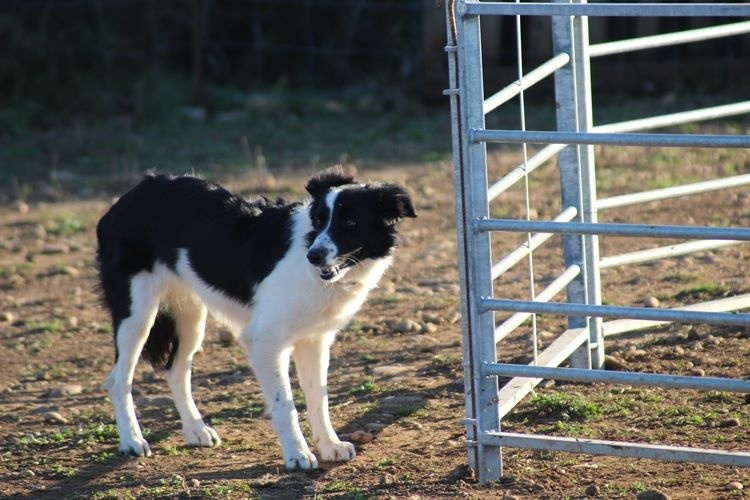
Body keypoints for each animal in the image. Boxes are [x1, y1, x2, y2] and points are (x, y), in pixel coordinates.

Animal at [95, 167, 418, 468]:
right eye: (318, 221)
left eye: (350, 222)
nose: (313, 256)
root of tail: (131, 194)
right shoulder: (265, 341)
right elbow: (285, 403)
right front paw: (297, 455)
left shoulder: (314, 340)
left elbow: (319, 397)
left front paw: (329, 445)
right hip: (137, 314)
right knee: (118, 380)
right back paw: (132, 440)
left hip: (191, 317)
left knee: (176, 370)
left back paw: (195, 430)